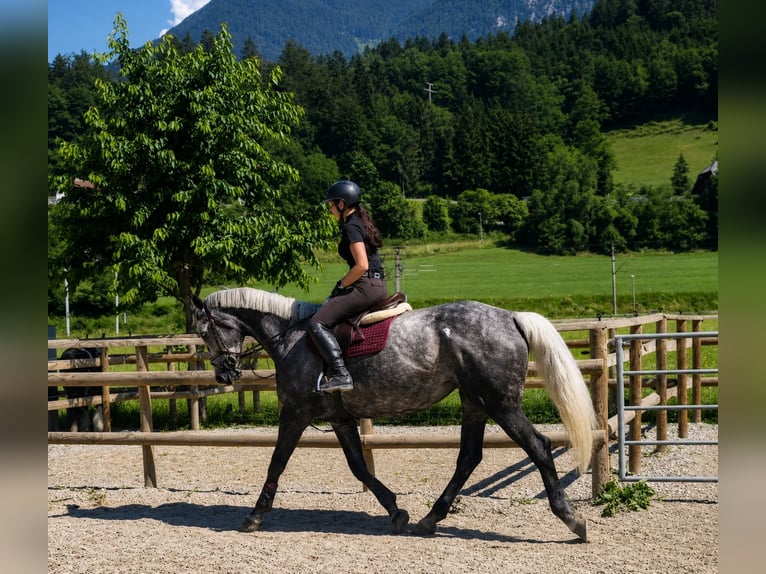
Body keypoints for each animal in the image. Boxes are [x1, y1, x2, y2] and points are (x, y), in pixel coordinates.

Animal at [191, 287, 598, 541]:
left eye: (206, 331)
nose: (224, 373)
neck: (293, 338)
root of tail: (511, 317)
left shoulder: (295, 412)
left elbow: (276, 462)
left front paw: (254, 516)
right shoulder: (339, 418)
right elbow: (359, 467)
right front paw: (395, 511)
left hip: (500, 404)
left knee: (538, 447)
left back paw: (572, 519)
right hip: (474, 403)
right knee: (468, 457)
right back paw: (430, 518)